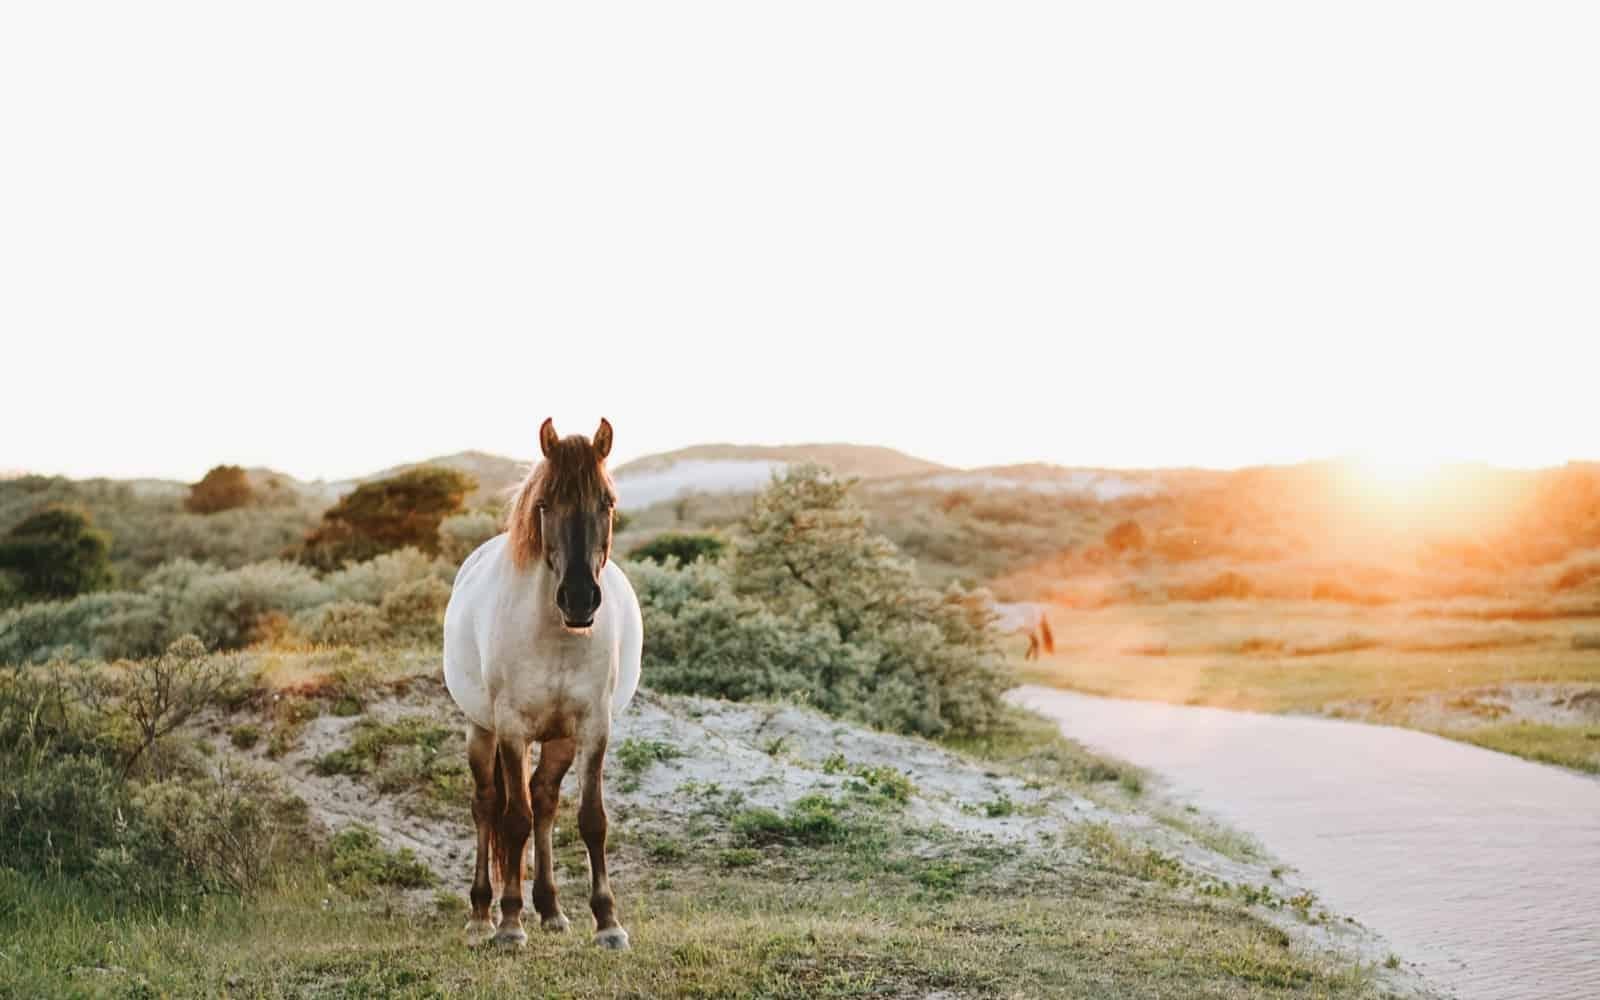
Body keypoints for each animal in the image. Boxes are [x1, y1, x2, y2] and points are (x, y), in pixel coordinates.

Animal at [444, 416, 643, 947]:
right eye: (544, 504)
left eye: (607, 503)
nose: (579, 598)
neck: (557, 635)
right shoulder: (512, 729)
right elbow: (515, 819)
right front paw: (511, 925)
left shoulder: (593, 728)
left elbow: (591, 820)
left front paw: (608, 922)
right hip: (481, 729)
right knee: (488, 805)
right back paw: (482, 915)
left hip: (559, 739)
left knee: (546, 800)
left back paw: (551, 908)